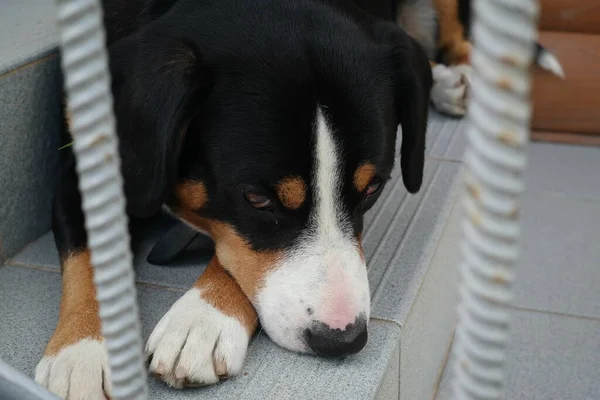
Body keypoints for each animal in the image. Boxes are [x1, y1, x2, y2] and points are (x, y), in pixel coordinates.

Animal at [36, 0, 478, 396]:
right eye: (257, 199)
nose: (342, 339)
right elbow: (90, 257)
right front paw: (81, 354)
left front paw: (202, 318)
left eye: (373, 188)